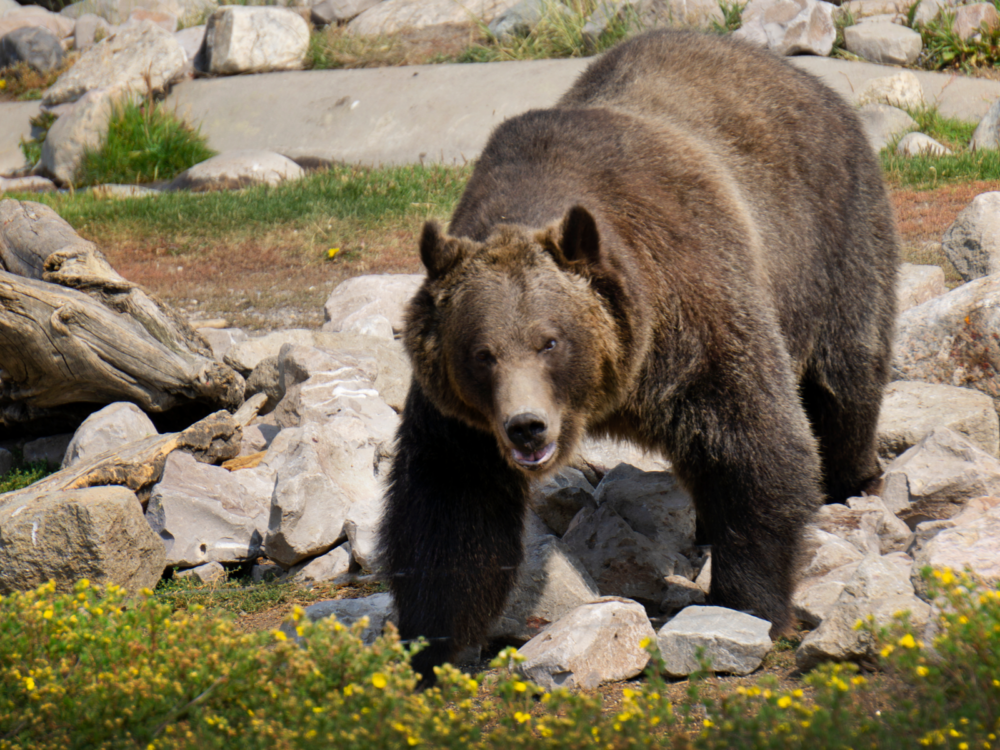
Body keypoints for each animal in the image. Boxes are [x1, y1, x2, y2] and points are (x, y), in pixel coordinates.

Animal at [376, 30, 900, 688]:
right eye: (482, 354)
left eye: (551, 340)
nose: (527, 427)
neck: (615, 389)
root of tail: (794, 72)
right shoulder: (463, 421)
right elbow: (449, 506)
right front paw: (431, 646)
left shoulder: (694, 320)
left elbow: (756, 443)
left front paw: (747, 604)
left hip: (831, 240)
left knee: (844, 379)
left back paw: (852, 479)